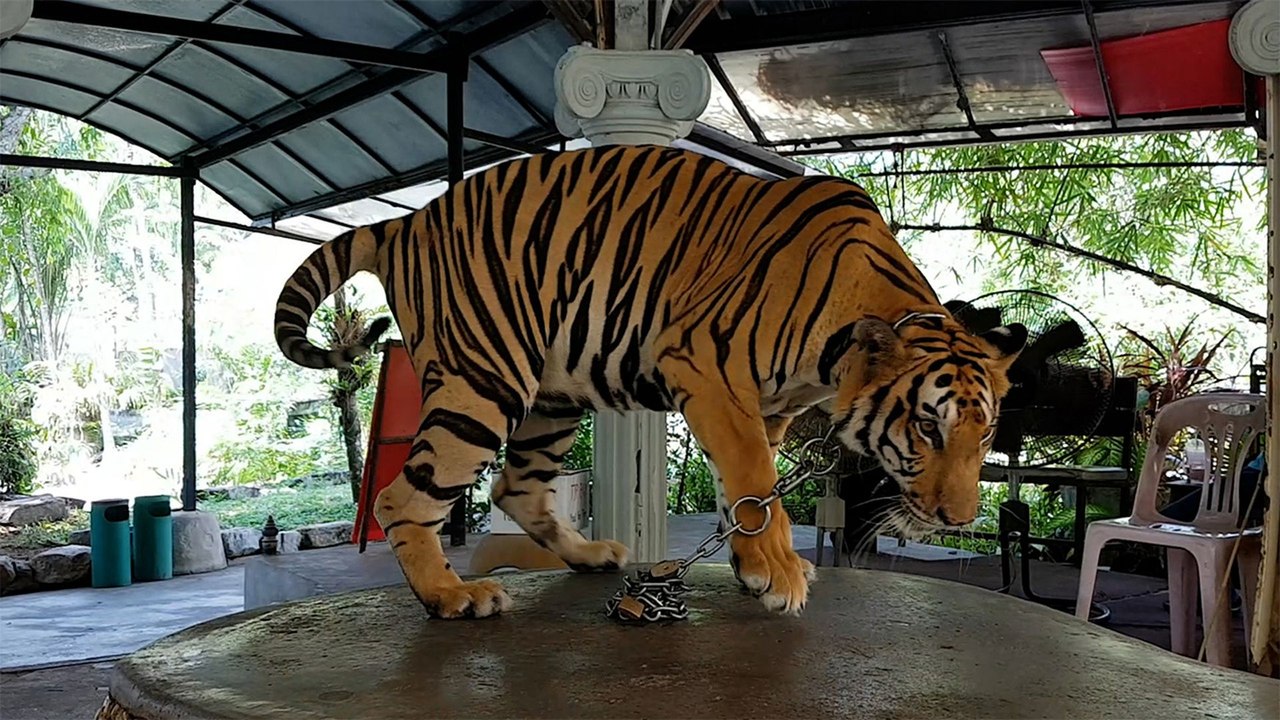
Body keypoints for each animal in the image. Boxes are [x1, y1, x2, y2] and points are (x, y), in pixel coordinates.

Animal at [273, 145, 1026, 619]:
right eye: (927, 427)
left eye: (986, 432)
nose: (961, 520)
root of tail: (407, 218)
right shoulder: (705, 364)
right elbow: (753, 474)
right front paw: (778, 570)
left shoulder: (768, 406)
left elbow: (743, 486)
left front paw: (754, 562)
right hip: (483, 381)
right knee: (403, 498)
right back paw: (452, 596)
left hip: (550, 395)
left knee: (516, 488)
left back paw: (590, 556)